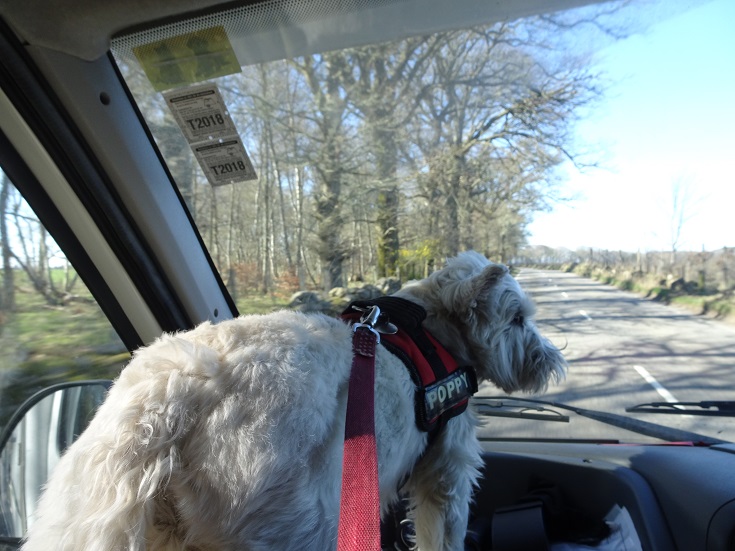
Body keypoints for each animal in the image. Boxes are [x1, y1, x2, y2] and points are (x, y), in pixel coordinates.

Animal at [21, 251, 564, 551]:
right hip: (302, 524)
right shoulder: (447, 470)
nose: (553, 361)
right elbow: (442, 532)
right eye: (518, 319)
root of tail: (173, 393)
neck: (432, 328)